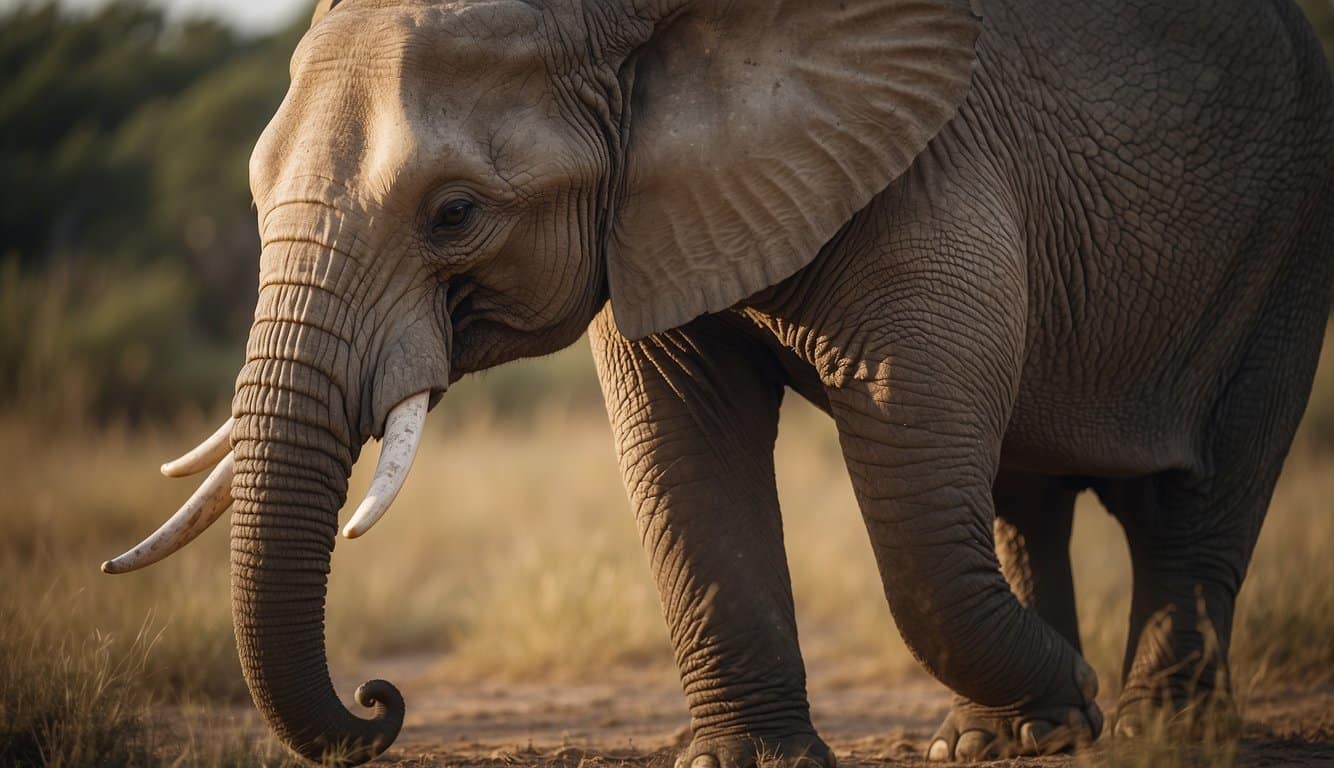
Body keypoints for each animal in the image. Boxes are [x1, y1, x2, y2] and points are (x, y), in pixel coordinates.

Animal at [102, 0, 1334, 764]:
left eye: (454, 213)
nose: (380, 698)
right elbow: (680, 444)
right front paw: (746, 760)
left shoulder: (934, 161)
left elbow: (909, 471)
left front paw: (1080, 709)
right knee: (1026, 500)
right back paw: (1011, 737)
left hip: (1285, 239)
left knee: (1193, 497)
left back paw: (1152, 733)